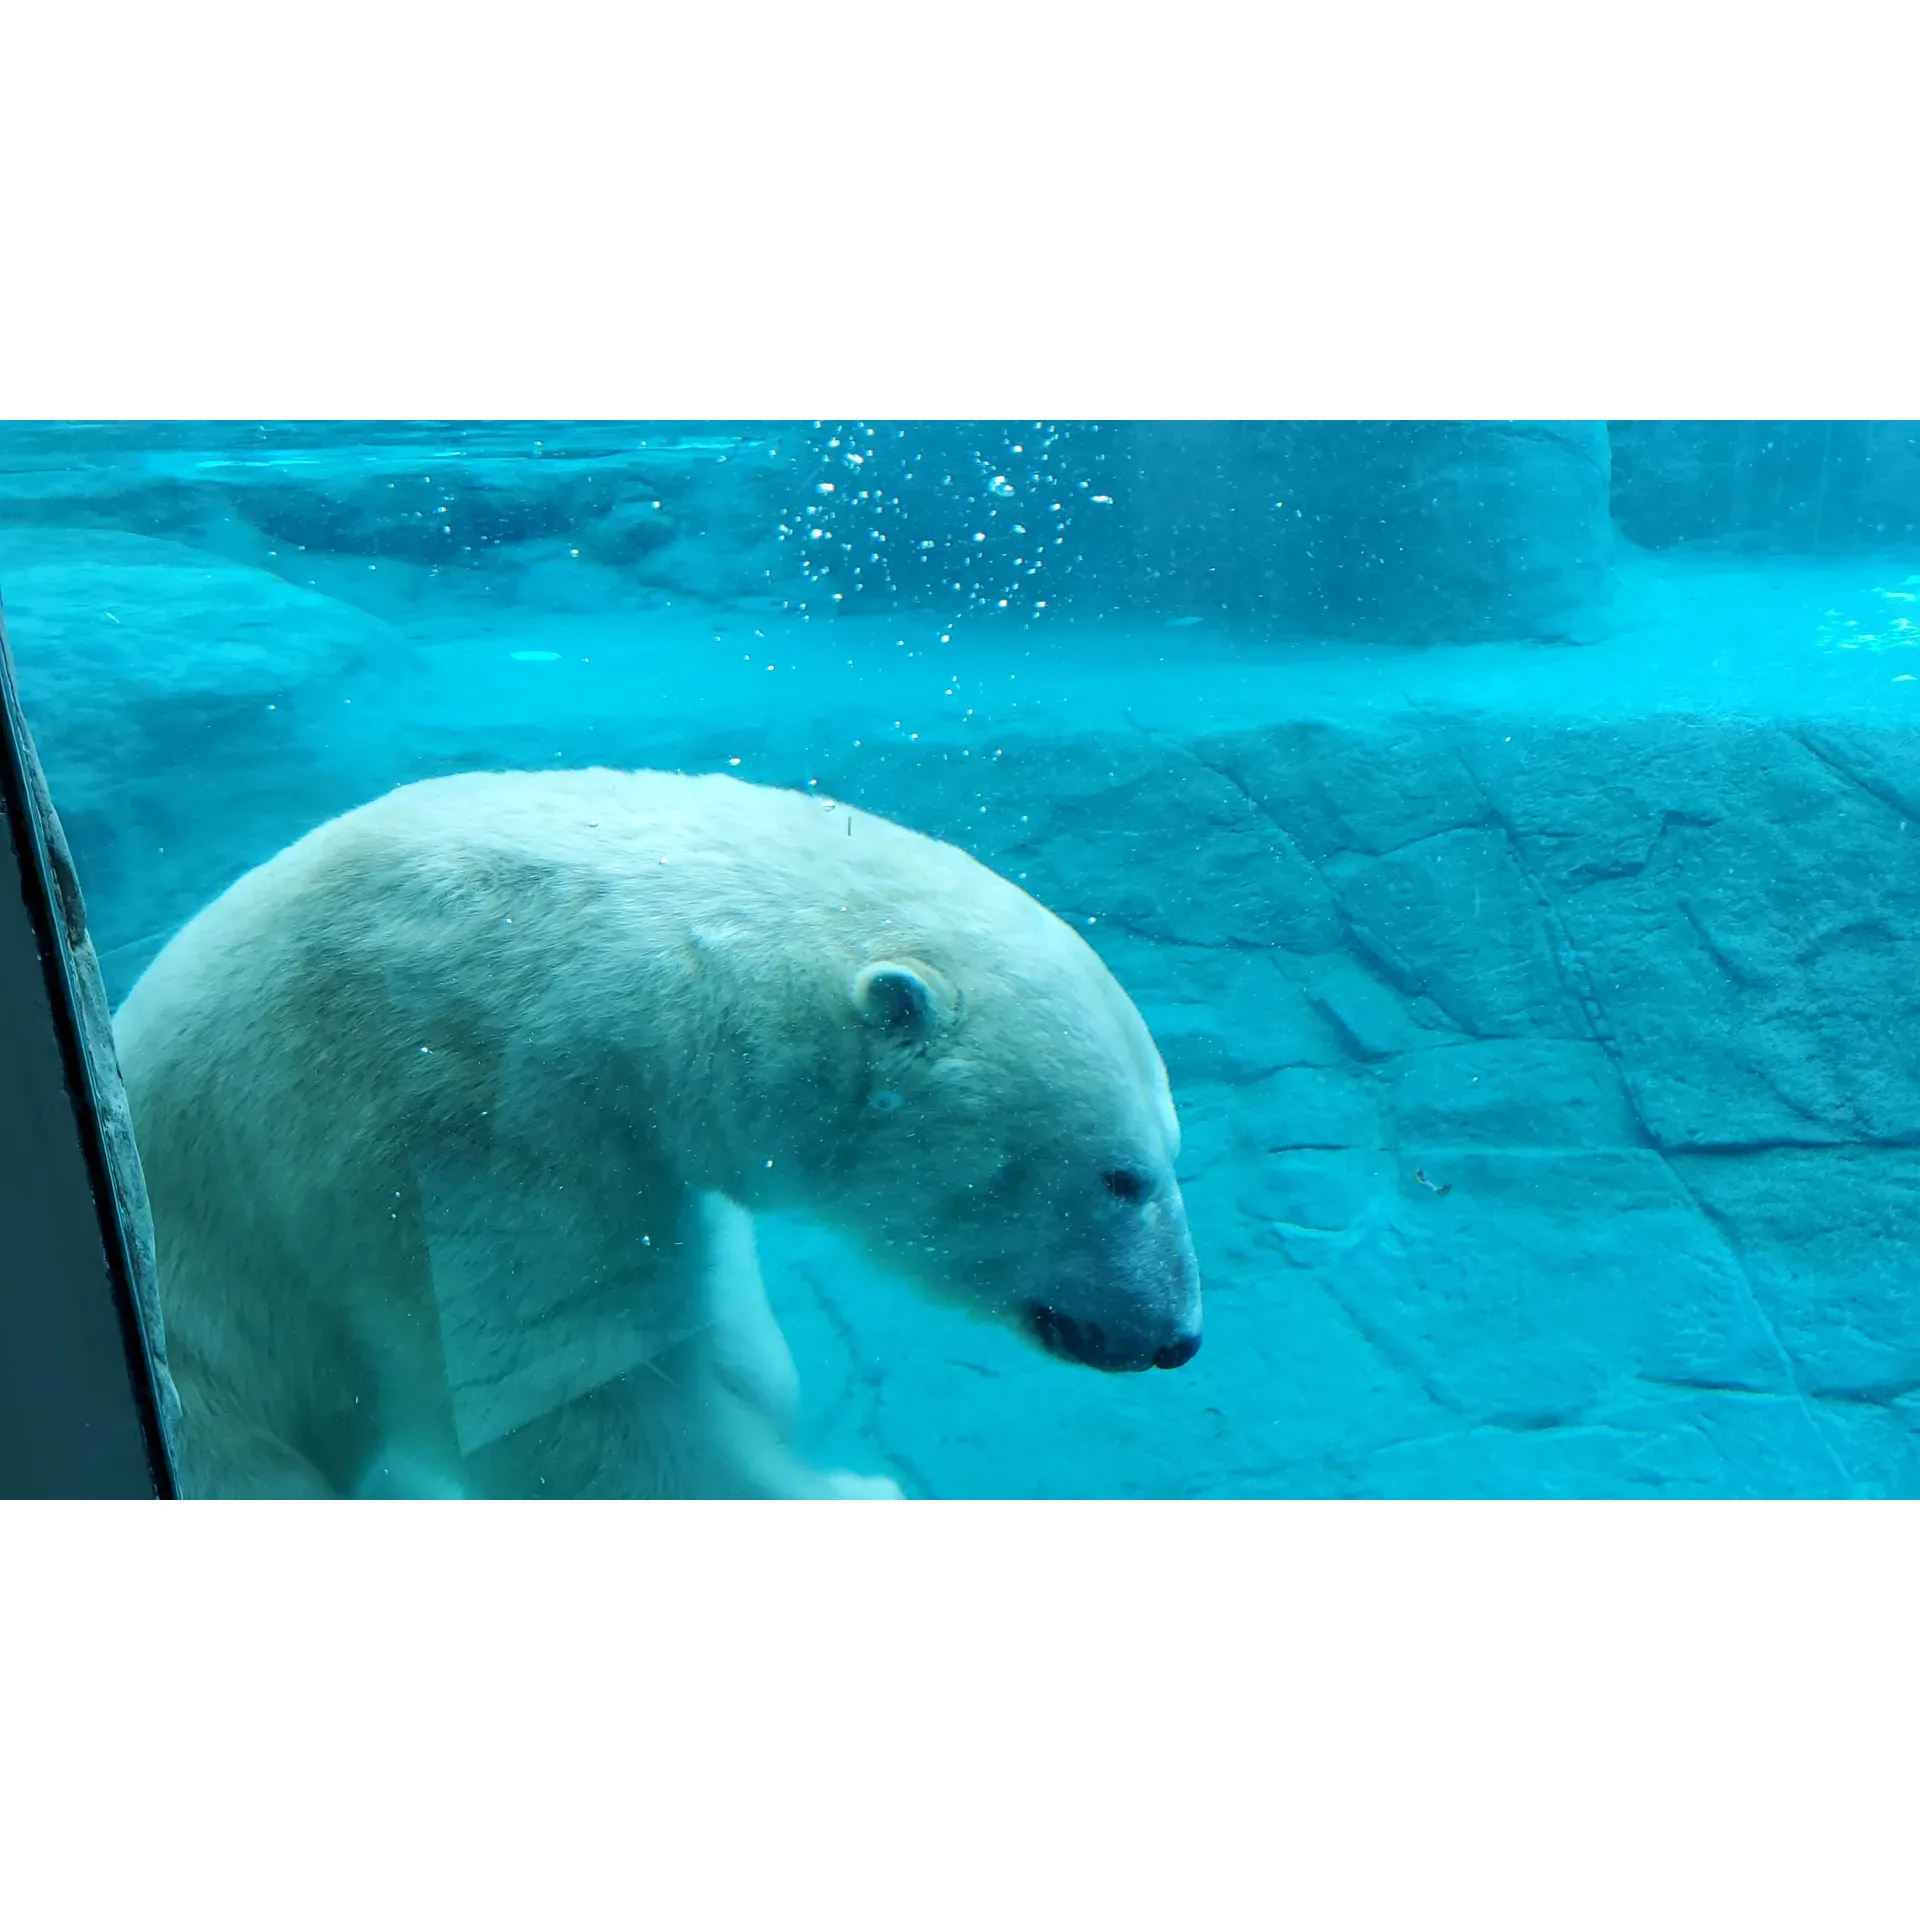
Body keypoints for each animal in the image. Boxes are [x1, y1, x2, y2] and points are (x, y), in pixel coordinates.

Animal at [112, 768, 1198, 1497]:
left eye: (1165, 1154)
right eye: (1122, 1176)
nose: (1177, 1338)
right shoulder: (448, 1114)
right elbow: (573, 1398)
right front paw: (861, 1487)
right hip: (209, 1361)